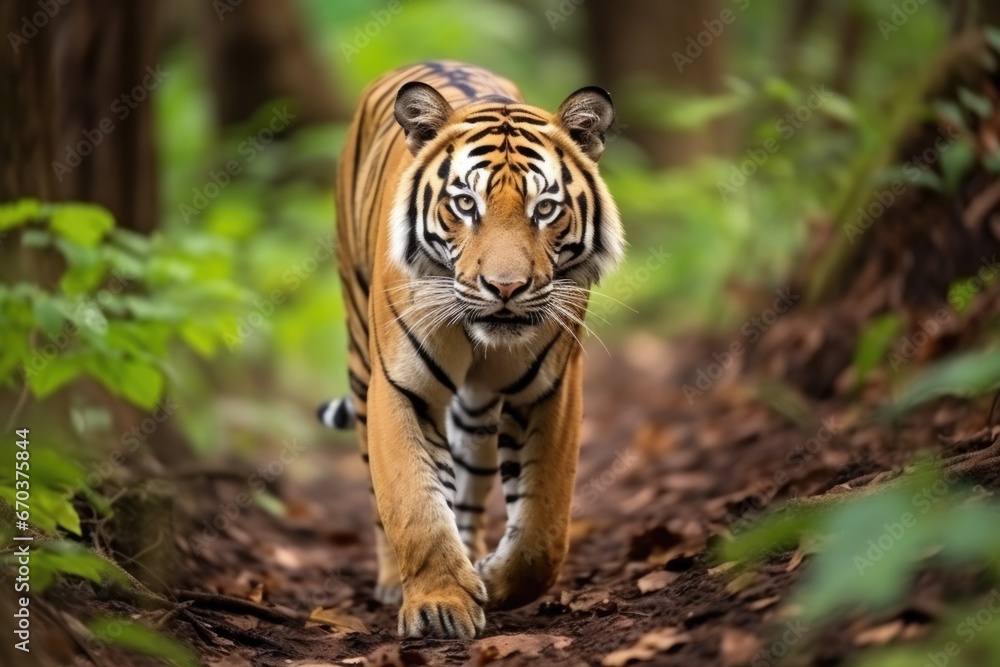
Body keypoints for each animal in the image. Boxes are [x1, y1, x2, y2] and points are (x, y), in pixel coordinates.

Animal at [317, 61, 624, 639]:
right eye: (465, 204)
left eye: (544, 209)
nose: (505, 288)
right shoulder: (401, 387)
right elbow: (413, 505)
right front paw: (438, 605)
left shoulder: (550, 390)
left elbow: (542, 529)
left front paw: (491, 580)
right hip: (359, 361)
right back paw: (393, 581)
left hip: (479, 413)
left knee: (469, 484)